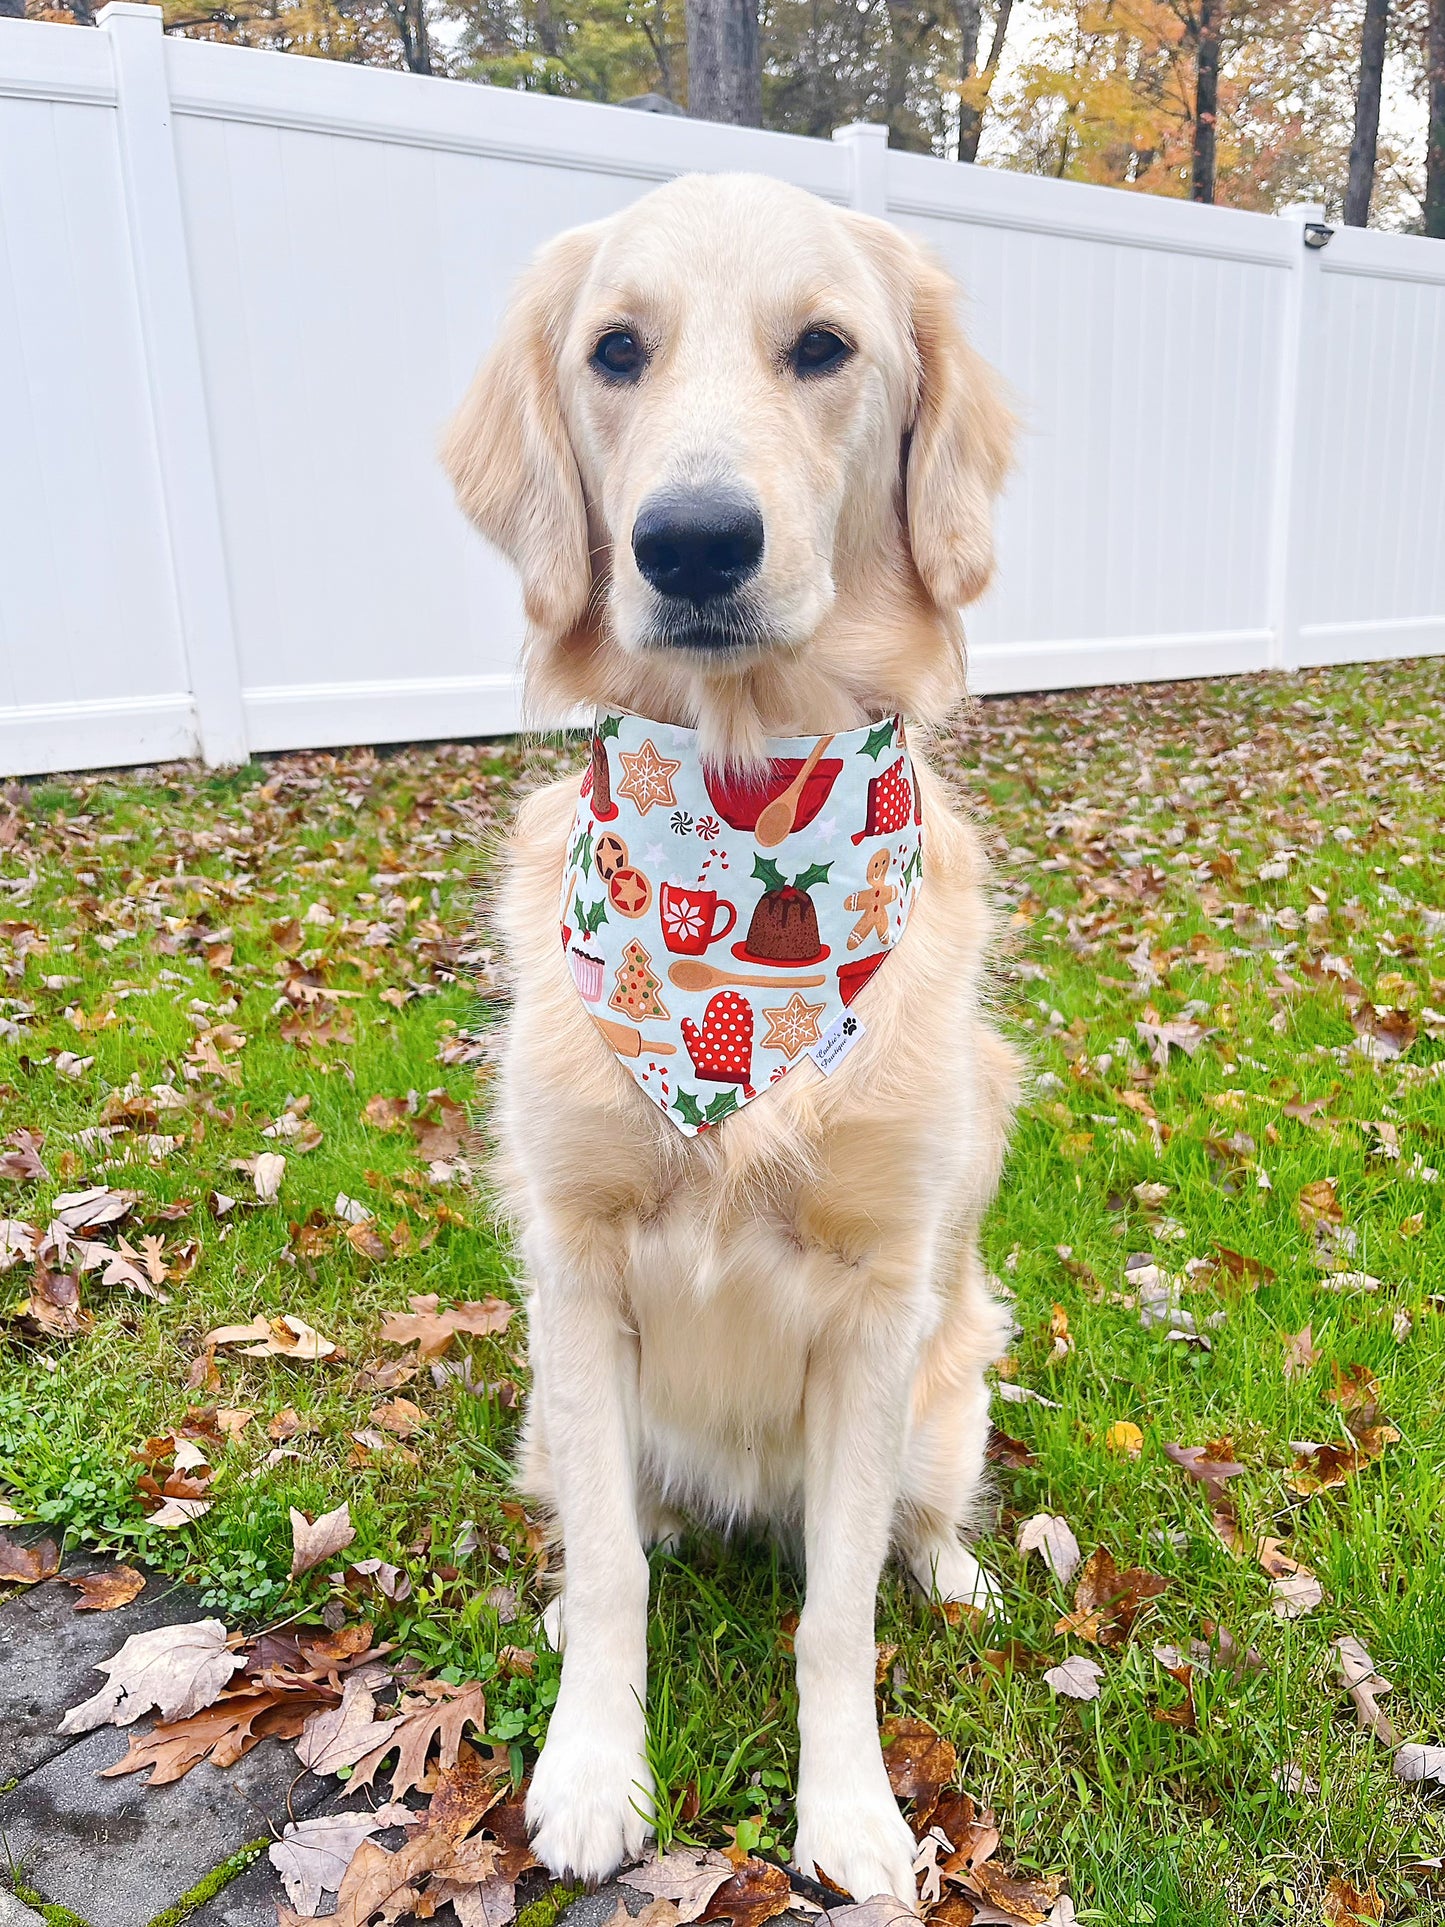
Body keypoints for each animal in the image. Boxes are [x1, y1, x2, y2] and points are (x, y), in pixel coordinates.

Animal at [446, 169, 1024, 1911]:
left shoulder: (877, 1299)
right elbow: (614, 1574)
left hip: (946, 1389)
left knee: (908, 1526)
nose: (693, 540)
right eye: (615, 350)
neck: (744, 777)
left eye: (823, 346)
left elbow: (835, 1614)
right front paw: (588, 1770)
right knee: (614, 1526)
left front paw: (854, 1816)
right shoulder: (574, 1272)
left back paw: (957, 1570)